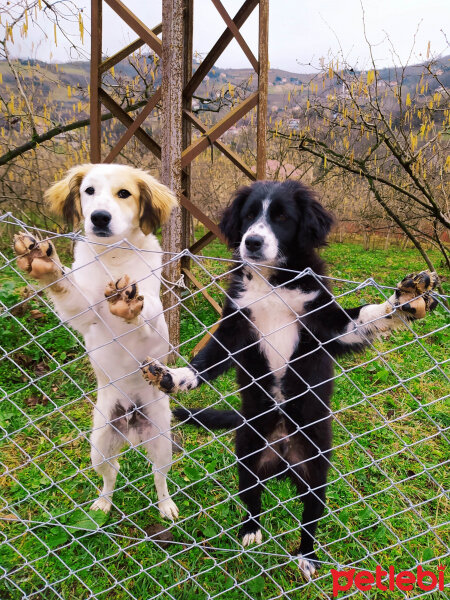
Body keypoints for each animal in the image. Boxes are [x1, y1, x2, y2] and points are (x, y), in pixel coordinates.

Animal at [14, 164, 179, 520]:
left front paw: (128, 304)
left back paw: (166, 506)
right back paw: (103, 503)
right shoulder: (82, 312)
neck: (113, 256)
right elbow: (65, 287)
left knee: (159, 477)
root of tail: (131, 423)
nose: (99, 217)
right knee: (111, 474)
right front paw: (45, 264)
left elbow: (146, 315)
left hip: (162, 443)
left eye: (124, 193)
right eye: (88, 191)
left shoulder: (156, 318)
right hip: (99, 445)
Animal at [141, 180, 436, 580]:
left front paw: (405, 300)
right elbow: (205, 361)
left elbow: (368, 316)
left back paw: (307, 557)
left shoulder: (326, 325)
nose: (251, 242)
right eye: (249, 215)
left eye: (282, 218)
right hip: (247, 457)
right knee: (252, 500)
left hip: (316, 471)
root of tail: (281, 456)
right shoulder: (236, 325)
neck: (273, 283)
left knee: (310, 519)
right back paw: (250, 532)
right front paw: (174, 377)